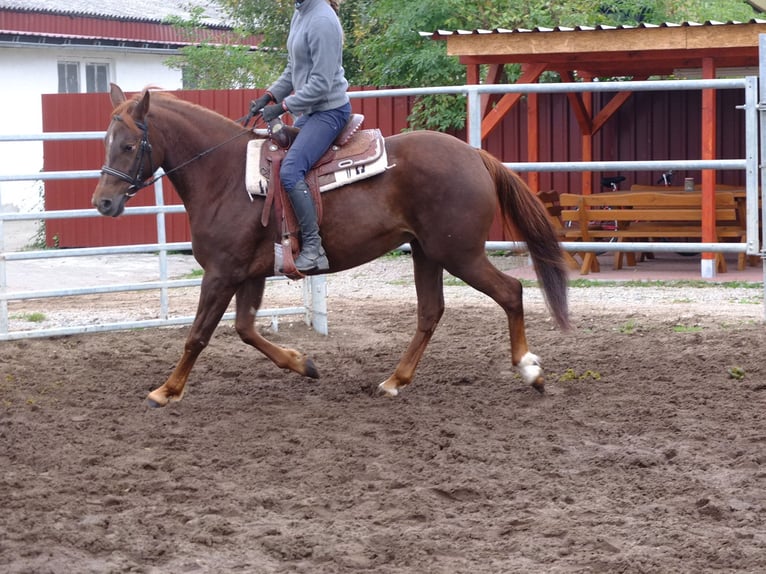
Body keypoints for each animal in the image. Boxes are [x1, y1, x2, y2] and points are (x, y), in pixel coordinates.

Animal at [93, 85, 568, 410]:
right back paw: (395, 380)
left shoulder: (221, 273)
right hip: (428, 254)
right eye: (106, 142)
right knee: (430, 313)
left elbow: (197, 335)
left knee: (511, 292)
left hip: (460, 255)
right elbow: (245, 329)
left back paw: (530, 371)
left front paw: (166, 390)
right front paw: (302, 363)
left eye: (130, 145)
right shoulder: (248, 274)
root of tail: (475, 156)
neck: (225, 177)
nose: (103, 202)